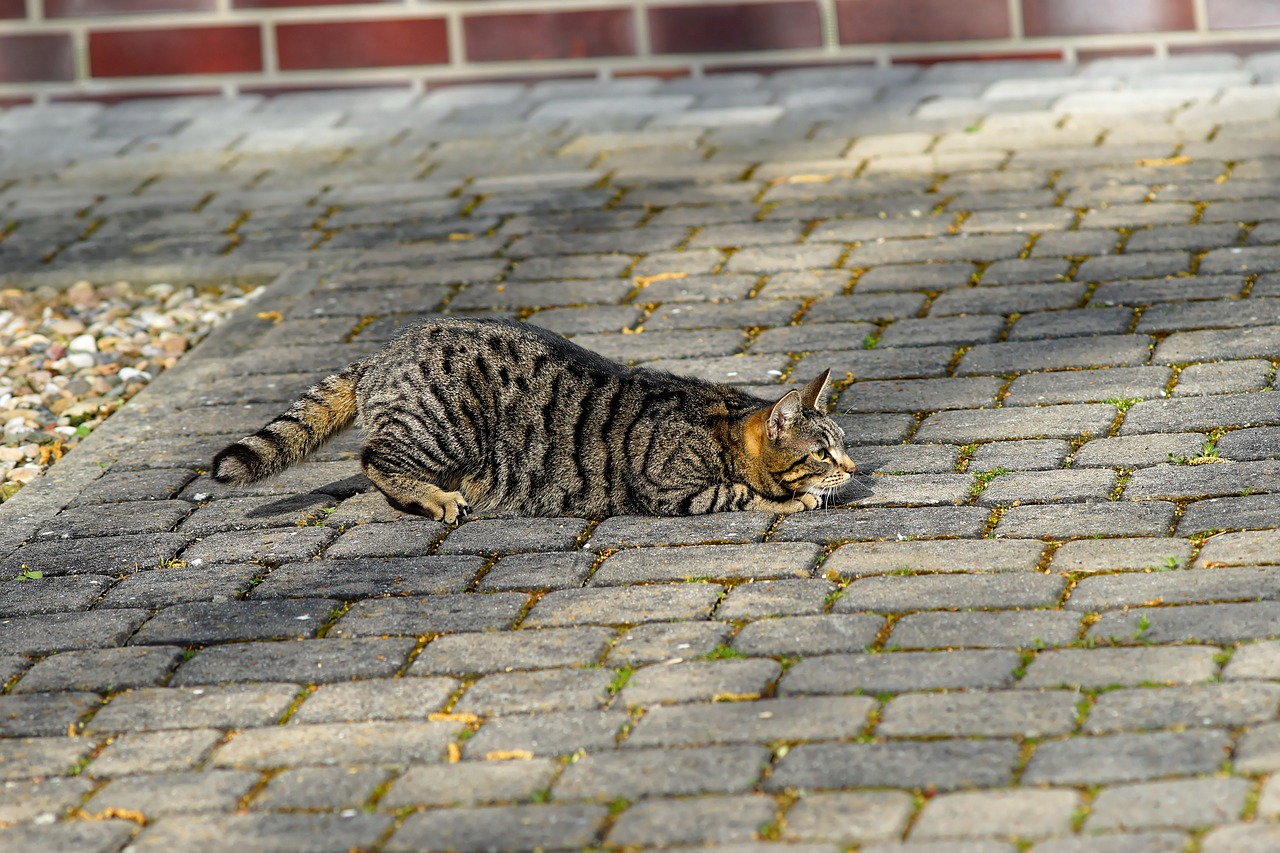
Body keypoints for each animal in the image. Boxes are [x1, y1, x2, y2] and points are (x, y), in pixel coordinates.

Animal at [212, 315, 860, 514]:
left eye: (844, 443)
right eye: (823, 452)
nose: (853, 469)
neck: (717, 420)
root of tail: (384, 350)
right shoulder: (667, 489)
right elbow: (742, 493)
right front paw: (795, 498)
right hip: (447, 428)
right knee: (375, 458)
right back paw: (435, 497)